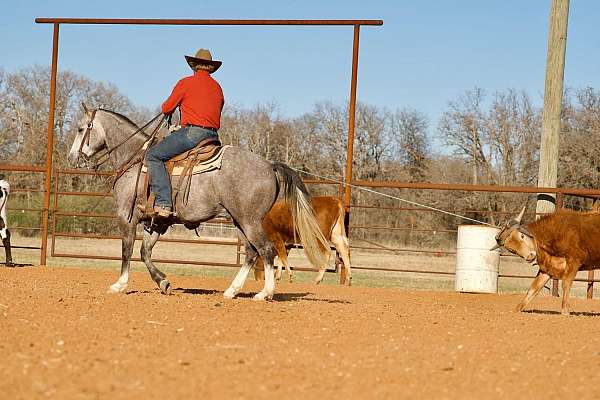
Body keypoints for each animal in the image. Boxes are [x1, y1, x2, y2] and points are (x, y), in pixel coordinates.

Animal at [69, 106, 328, 300]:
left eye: (81, 128)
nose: (72, 158)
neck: (134, 159)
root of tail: (270, 165)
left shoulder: (127, 217)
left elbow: (126, 250)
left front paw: (119, 284)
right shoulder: (156, 223)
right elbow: (145, 252)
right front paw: (163, 282)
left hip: (250, 221)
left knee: (266, 250)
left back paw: (264, 293)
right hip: (239, 222)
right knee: (250, 253)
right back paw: (231, 291)